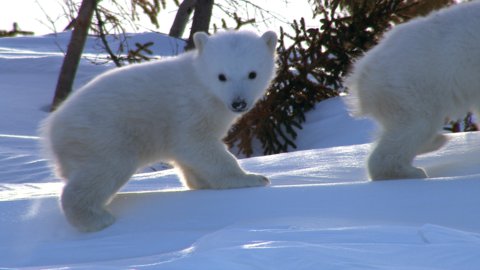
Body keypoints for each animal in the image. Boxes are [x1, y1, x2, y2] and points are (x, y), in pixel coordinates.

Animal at [40, 30, 278, 232]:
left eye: (252, 73)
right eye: (221, 76)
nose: (238, 103)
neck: (203, 84)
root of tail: (52, 128)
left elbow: (187, 156)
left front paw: (201, 183)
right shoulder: (190, 110)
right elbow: (197, 144)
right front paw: (252, 178)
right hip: (103, 134)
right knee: (104, 170)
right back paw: (96, 218)